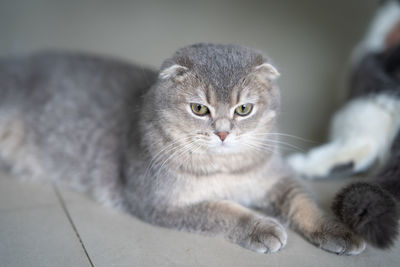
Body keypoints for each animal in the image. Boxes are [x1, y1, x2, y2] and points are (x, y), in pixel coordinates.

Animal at [0, 43, 366, 255]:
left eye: (244, 109)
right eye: (199, 109)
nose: (222, 133)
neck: (224, 166)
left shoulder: (278, 177)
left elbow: (305, 203)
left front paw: (339, 231)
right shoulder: (159, 202)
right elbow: (223, 210)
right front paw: (262, 227)